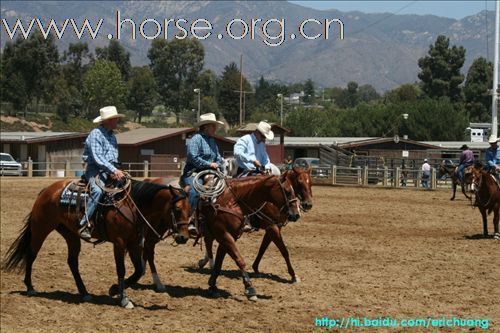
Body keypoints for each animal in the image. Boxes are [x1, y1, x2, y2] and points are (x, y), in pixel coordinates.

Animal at [2, 178, 190, 308]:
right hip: (41, 228)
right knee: (31, 254)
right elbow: (121, 269)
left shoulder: (134, 243)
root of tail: (47, 190)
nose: (183, 237)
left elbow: (138, 271)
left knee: (72, 262)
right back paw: (30, 287)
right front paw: (123, 299)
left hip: (70, 234)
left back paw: (84, 293)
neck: (133, 206)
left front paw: (114, 289)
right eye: (177, 209)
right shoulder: (119, 243)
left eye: (190, 210)